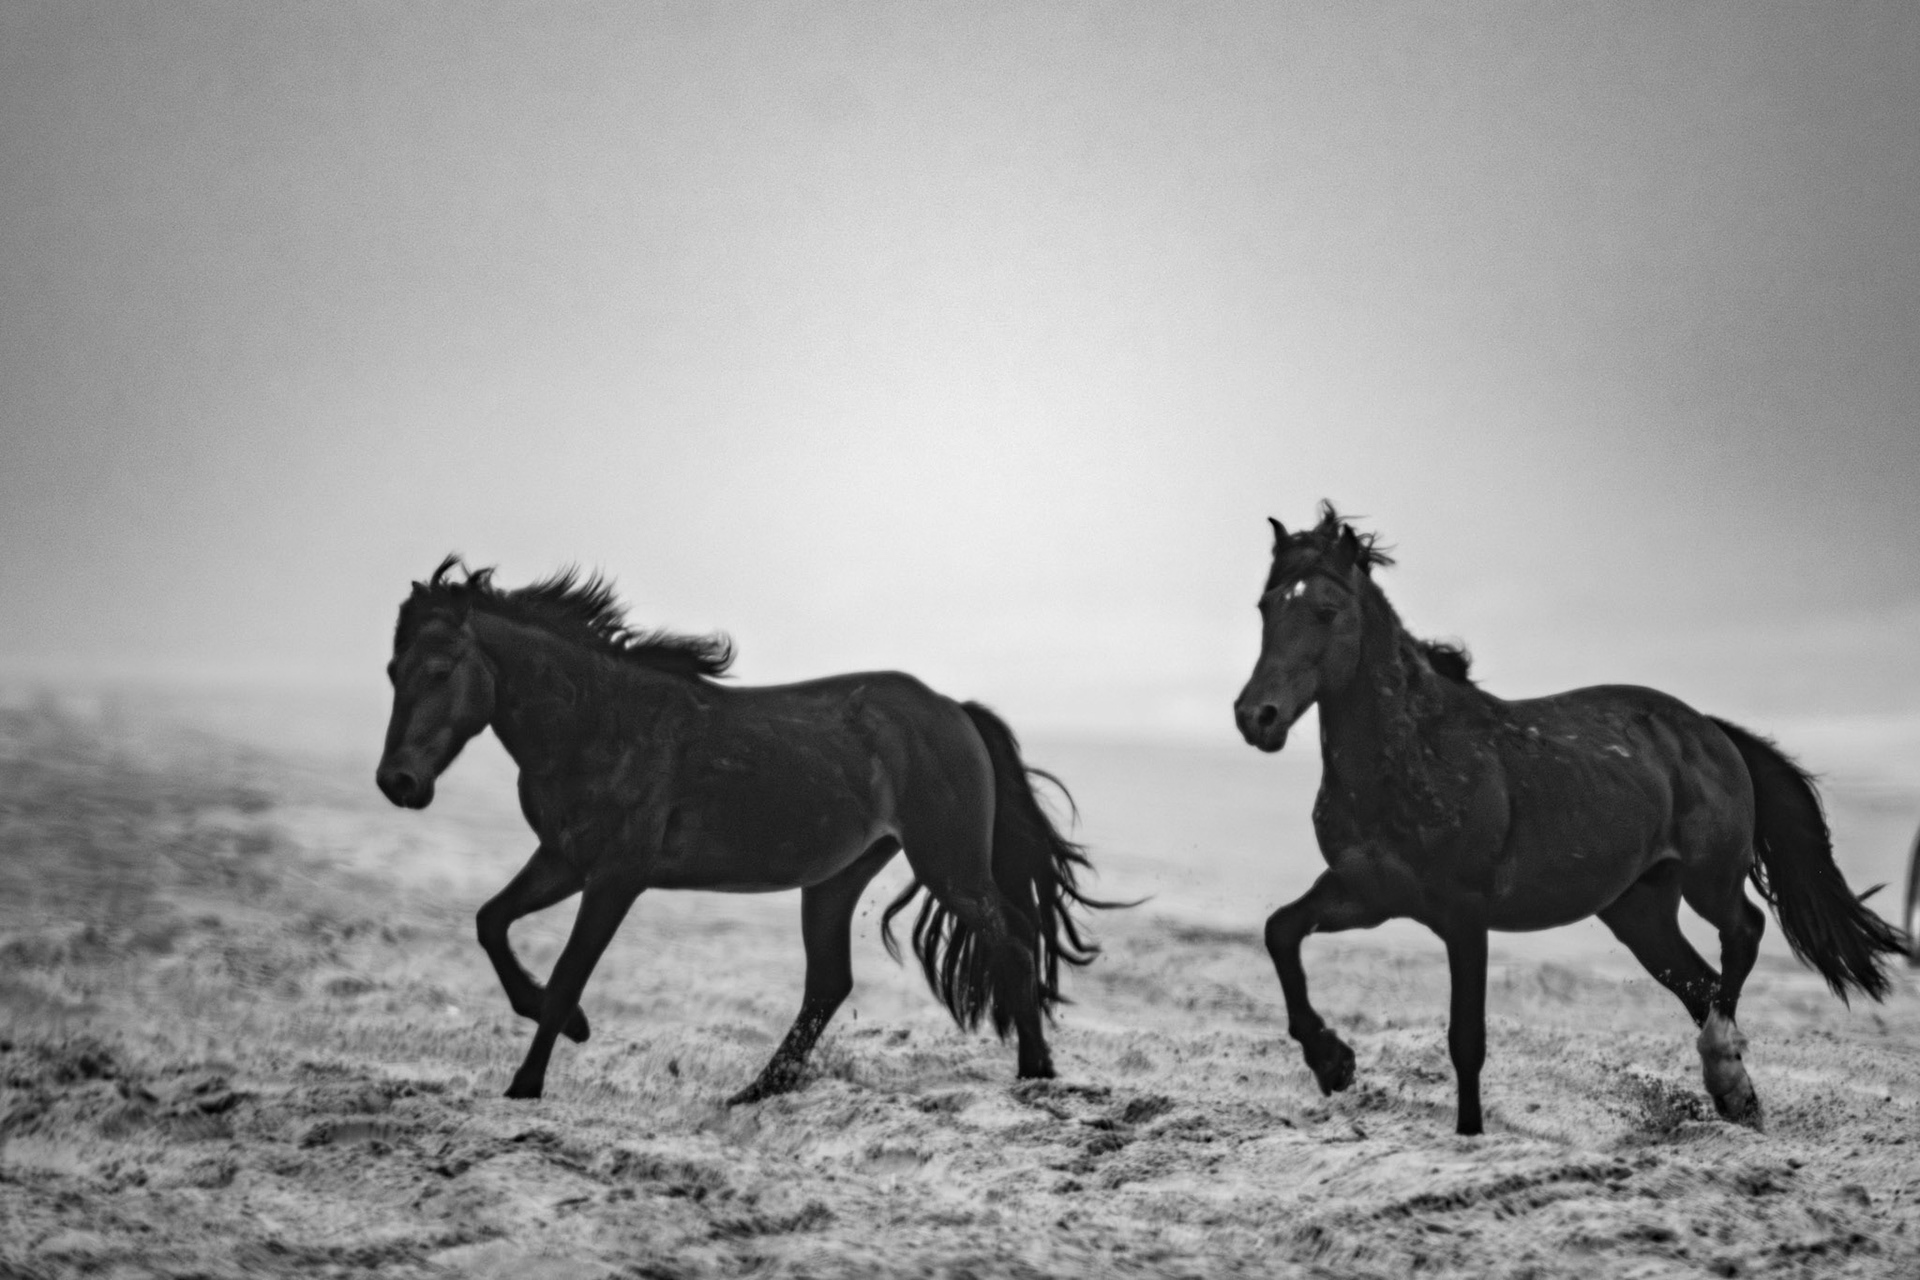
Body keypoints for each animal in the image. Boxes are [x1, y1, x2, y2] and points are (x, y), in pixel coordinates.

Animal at [374, 557, 1114, 1102]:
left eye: (439, 670)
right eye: (391, 671)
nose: (397, 782)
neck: (599, 721)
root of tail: (954, 710)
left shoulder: (615, 878)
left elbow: (567, 975)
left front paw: (526, 1085)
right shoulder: (562, 860)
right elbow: (491, 923)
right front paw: (566, 1030)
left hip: (948, 864)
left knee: (1012, 941)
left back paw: (1036, 1073)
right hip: (838, 879)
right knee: (829, 983)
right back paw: (759, 1090)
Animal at [1232, 503, 1907, 1136]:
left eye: (1326, 611)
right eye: (1265, 607)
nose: (1256, 716)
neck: (1412, 752)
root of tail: (1710, 729)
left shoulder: (1463, 914)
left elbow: (1466, 1040)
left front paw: (1468, 1134)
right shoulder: (1366, 894)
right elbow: (1280, 931)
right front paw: (1333, 1062)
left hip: (1709, 879)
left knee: (1743, 932)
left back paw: (1722, 1061)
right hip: (1637, 910)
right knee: (1700, 981)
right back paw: (1734, 1095)